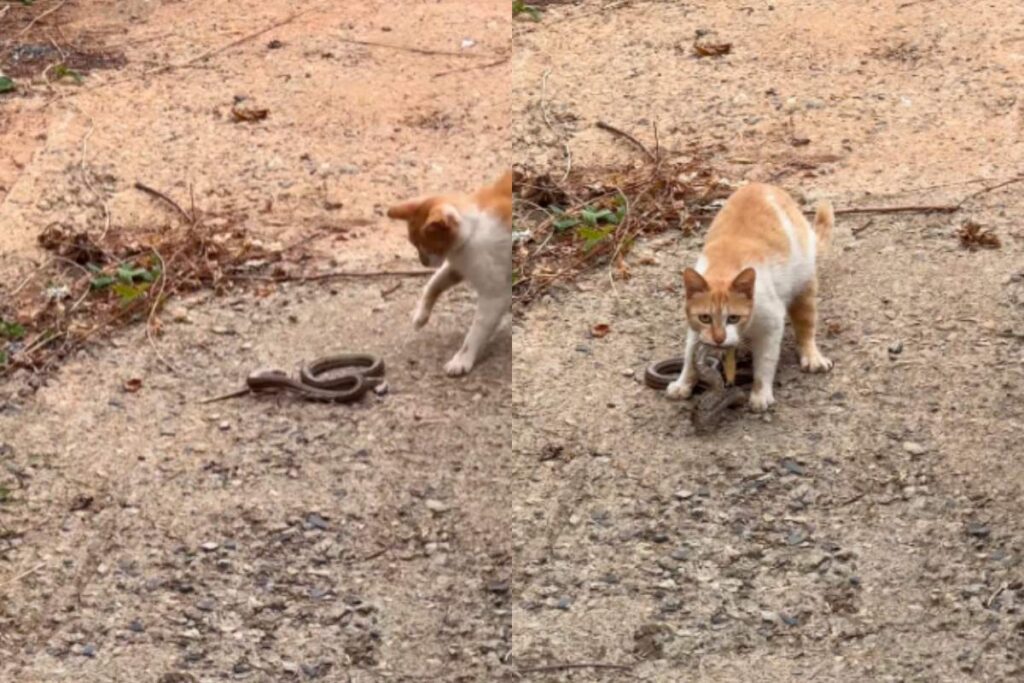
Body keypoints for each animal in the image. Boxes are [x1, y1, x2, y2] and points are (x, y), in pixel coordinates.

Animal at [385, 169, 512, 374]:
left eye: (426, 246)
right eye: (414, 245)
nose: (422, 262)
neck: (473, 230)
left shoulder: (494, 295)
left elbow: (476, 331)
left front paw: (462, 359)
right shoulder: (458, 265)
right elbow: (433, 284)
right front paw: (421, 314)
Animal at [667, 183, 835, 411]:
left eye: (733, 318)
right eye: (705, 318)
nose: (719, 339)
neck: (724, 268)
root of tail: (762, 185)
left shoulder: (772, 323)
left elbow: (765, 361)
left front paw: (760, 393)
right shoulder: (696, 330)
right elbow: (689, 355)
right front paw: (683, 382)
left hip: (804, 286)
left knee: (806, 327)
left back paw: (811, 355)